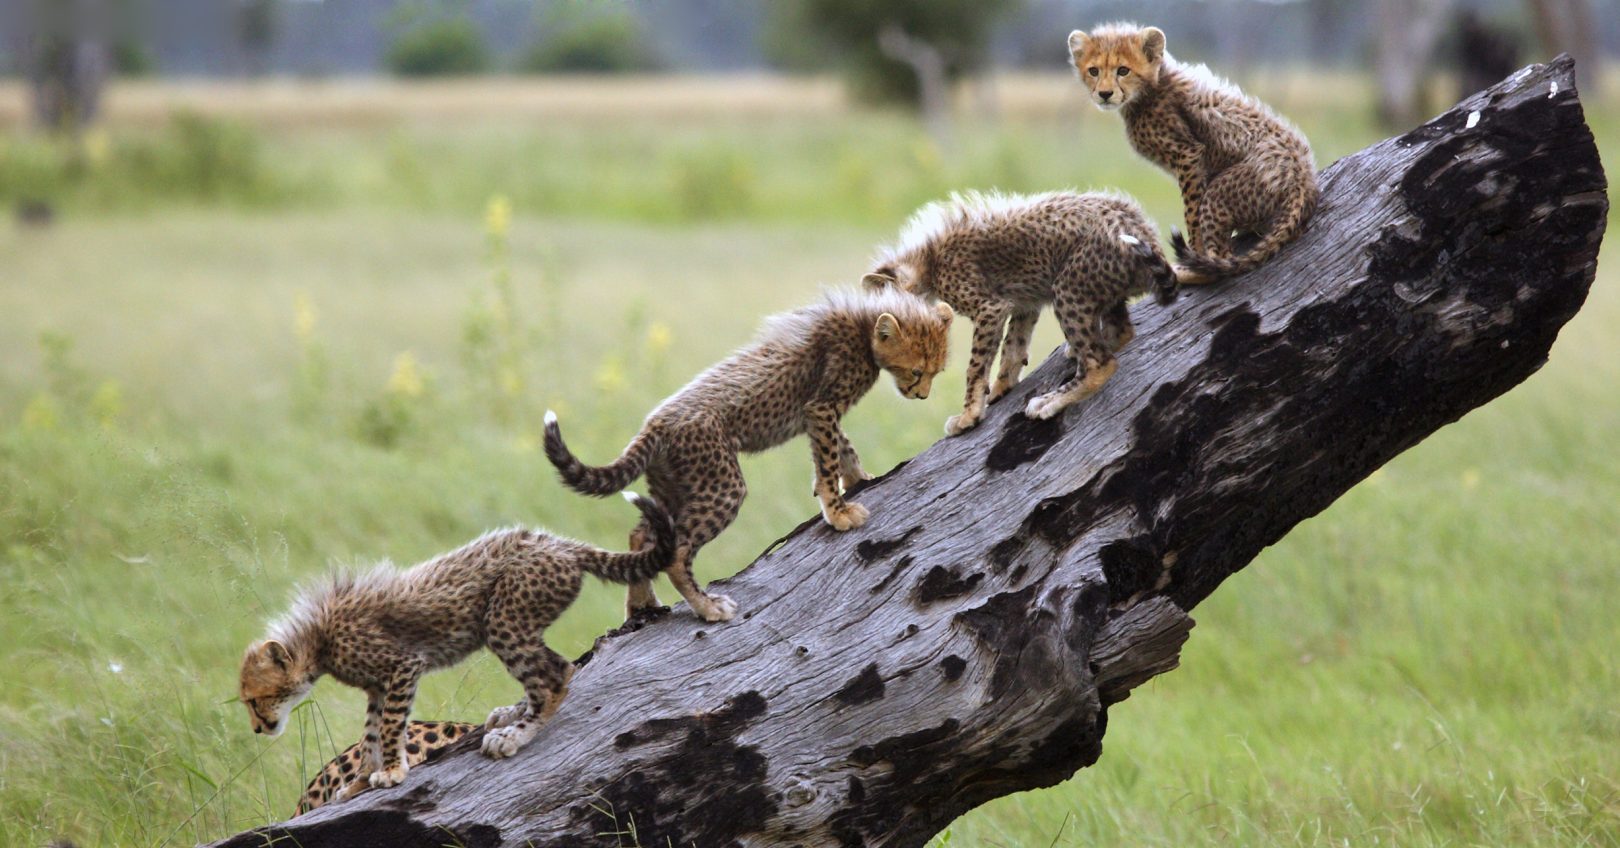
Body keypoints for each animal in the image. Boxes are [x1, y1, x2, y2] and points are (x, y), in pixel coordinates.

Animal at [239, 492, 674, 795]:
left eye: (255, 700)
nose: (258, 729)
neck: (318, 640)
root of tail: (558, 543)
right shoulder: (378, 686)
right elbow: (370, 734)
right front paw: (361, 780)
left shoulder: (402, 666)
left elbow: (391, 725)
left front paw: (392, 771)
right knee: (553, 668)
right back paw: (511, 713)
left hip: (503, 619)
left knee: (555, 674)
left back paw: (515, 734)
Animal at [544, 288, 954, 623]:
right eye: (916, 371)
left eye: (937, 371)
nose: (922, 395)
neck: (864, 326)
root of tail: (655, 421)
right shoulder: (821, 407)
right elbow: (828, 455)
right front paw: (838, 511)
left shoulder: (816, 413)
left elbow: (842, 445)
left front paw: (857, 478)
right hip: (721, 485)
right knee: (676, 552)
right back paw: (707, 607)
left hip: (674, 485)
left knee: (643, 535)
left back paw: (641, 604)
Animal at [863, 189, 1177, 433]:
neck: (927, 259)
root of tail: (1141, 228)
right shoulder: (1024, 303)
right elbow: (1013, 346)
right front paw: (999, 389)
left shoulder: (989, 308)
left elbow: (975, 366)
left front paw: (968, 416)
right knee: (1121, 332)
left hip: (1068, 288)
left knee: (1101, 362)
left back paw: (1050, 401)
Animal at [1068, 23, 1319, 285]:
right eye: (1094, 71)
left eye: (1123, 70)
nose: (1105, 94)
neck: (1151, 87)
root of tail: (1303, 179)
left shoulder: (1188, 154)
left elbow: (1192, 212)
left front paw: (1194, 249)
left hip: (1221, 192)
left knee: (1221, 258)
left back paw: (1187, 271)